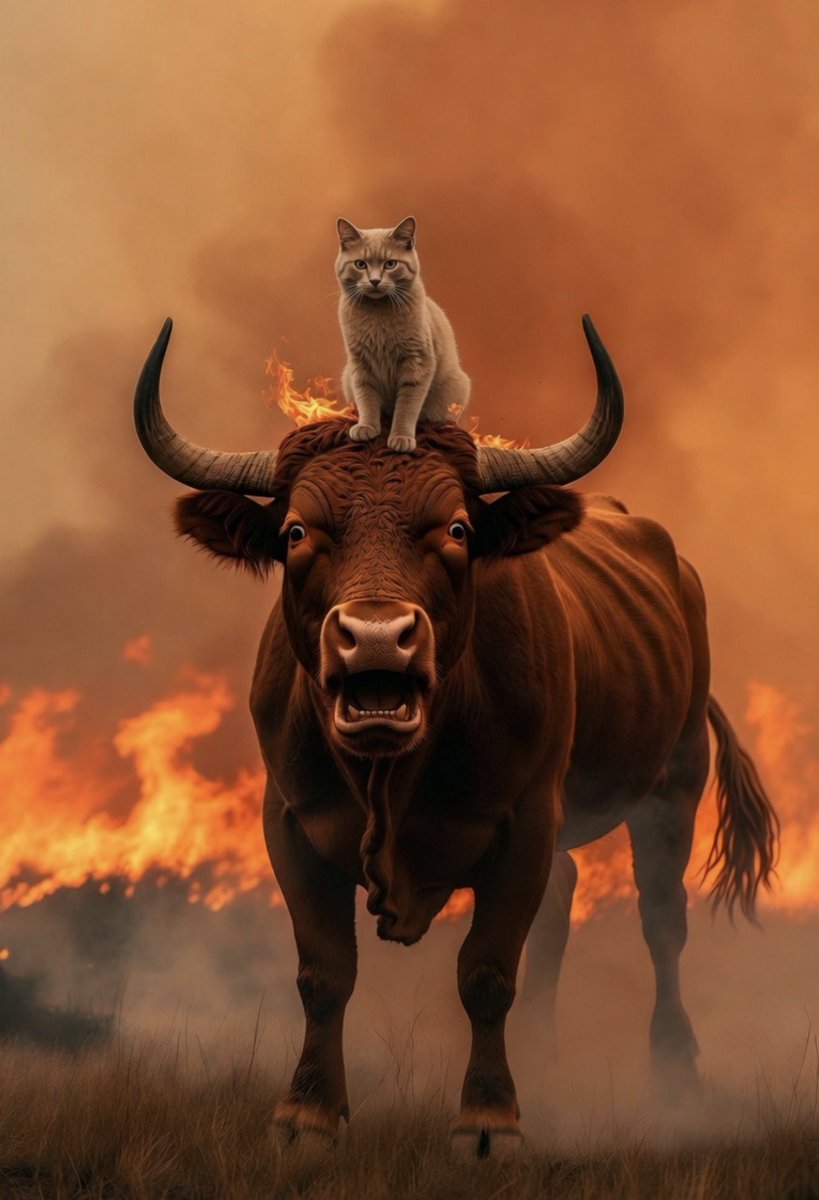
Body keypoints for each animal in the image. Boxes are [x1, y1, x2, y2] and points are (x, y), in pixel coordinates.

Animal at [134, 316, 778, 1159]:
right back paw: (542, 1052)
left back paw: (674, 1075)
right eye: (297, 531)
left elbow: (485, 973)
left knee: (661, 922)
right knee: (564, 906)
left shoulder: (525, 823)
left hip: (672, 784)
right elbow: (323, 974)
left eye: (458, 529)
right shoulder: (290, 825)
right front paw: (306, 1114)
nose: (377, 640)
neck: (390, 779)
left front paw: (487, 1120)